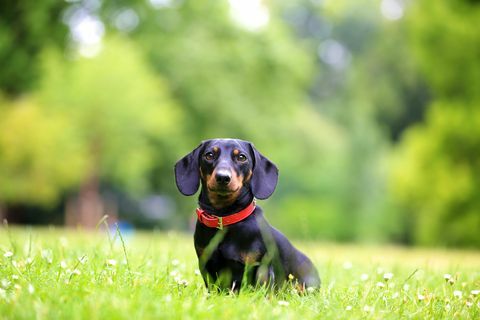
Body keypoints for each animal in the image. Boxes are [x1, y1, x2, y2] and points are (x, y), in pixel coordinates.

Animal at [174, 139, 320, 292]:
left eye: (241, 157)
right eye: (209, 155)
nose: (223, 177)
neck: (225, 216)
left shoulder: (261, 268)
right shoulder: (206, 267)